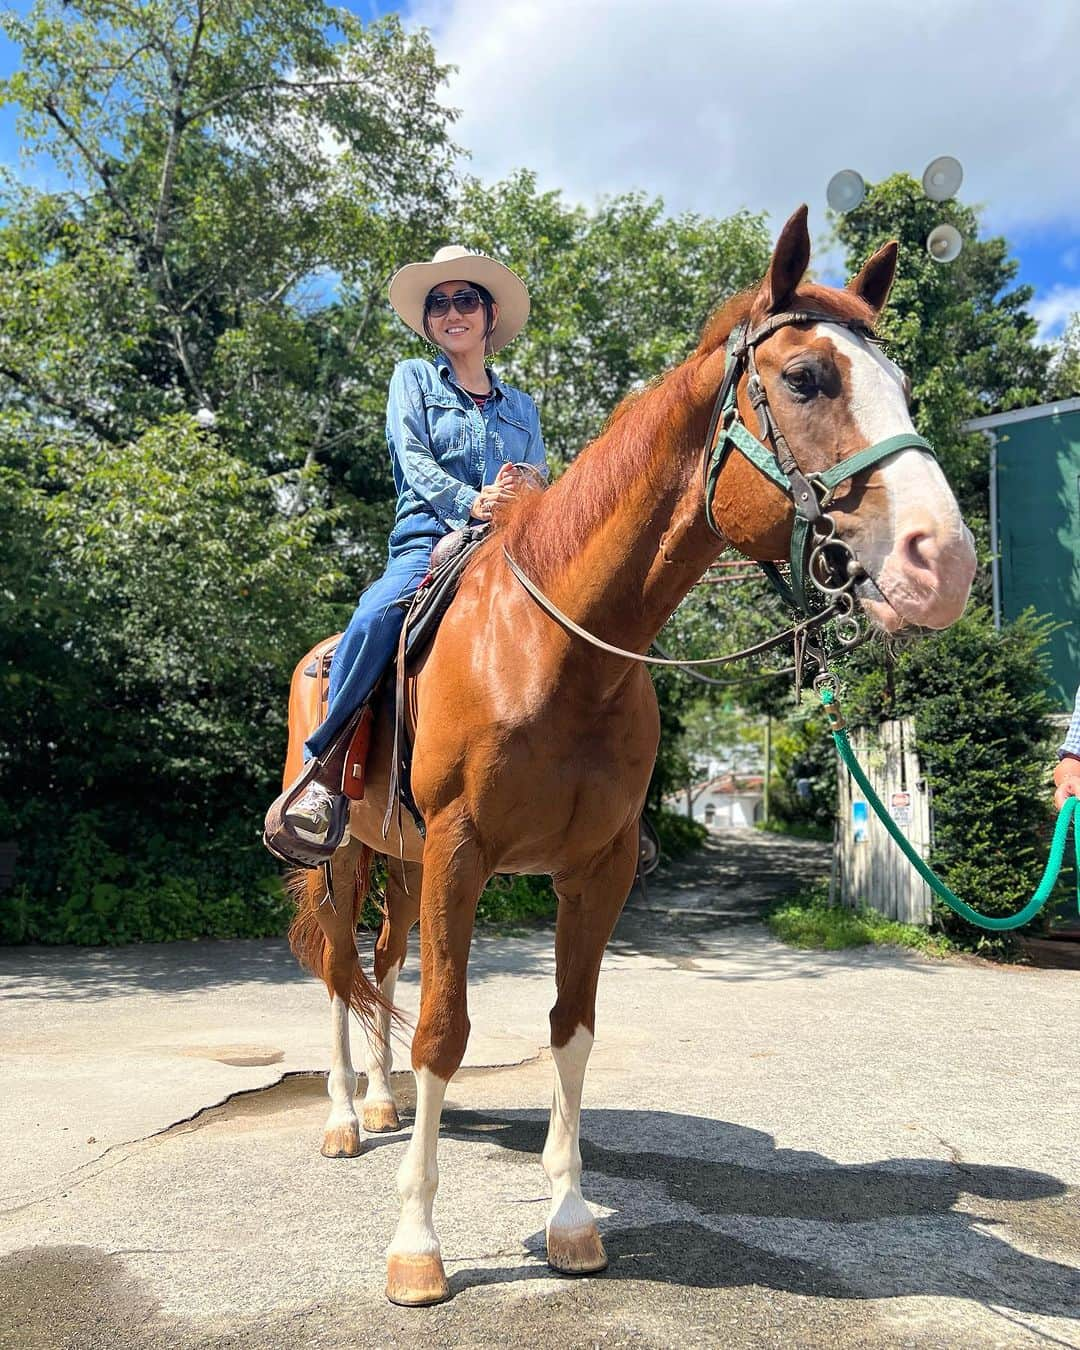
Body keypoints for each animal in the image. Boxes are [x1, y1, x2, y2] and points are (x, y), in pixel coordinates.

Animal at [286, 207, 977, 1306]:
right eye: (806, 378)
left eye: (903, 388)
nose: (942, 562)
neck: (560, 650)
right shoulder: (461, 855)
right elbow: (447, 1028)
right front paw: (417, 1248)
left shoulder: (594, 870)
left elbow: (571, 1025)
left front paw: (571, 1222)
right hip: (348, 856)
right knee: (339, 970)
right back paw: (349, 1118)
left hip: (400, 858)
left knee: (382, 966)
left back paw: (387, 1103)